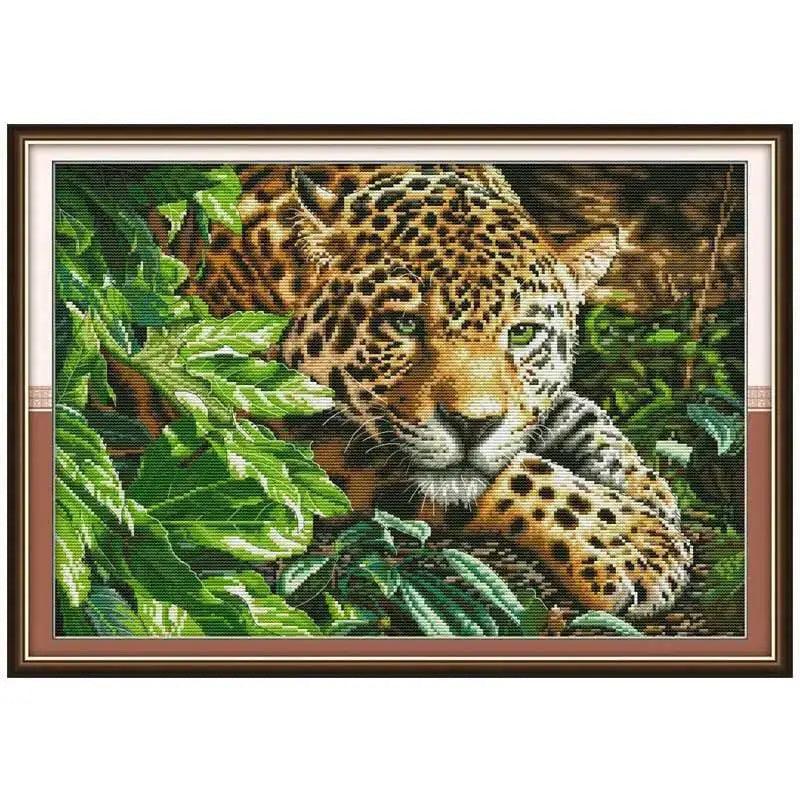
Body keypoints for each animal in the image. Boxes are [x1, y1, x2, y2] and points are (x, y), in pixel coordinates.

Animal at [150, 163, 693, 618]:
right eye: (404, 324)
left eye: (522, 334)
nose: (472, 426)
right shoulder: (272, 430)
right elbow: (521, 475)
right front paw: (635, 543)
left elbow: (586, 419)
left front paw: (652, 492)